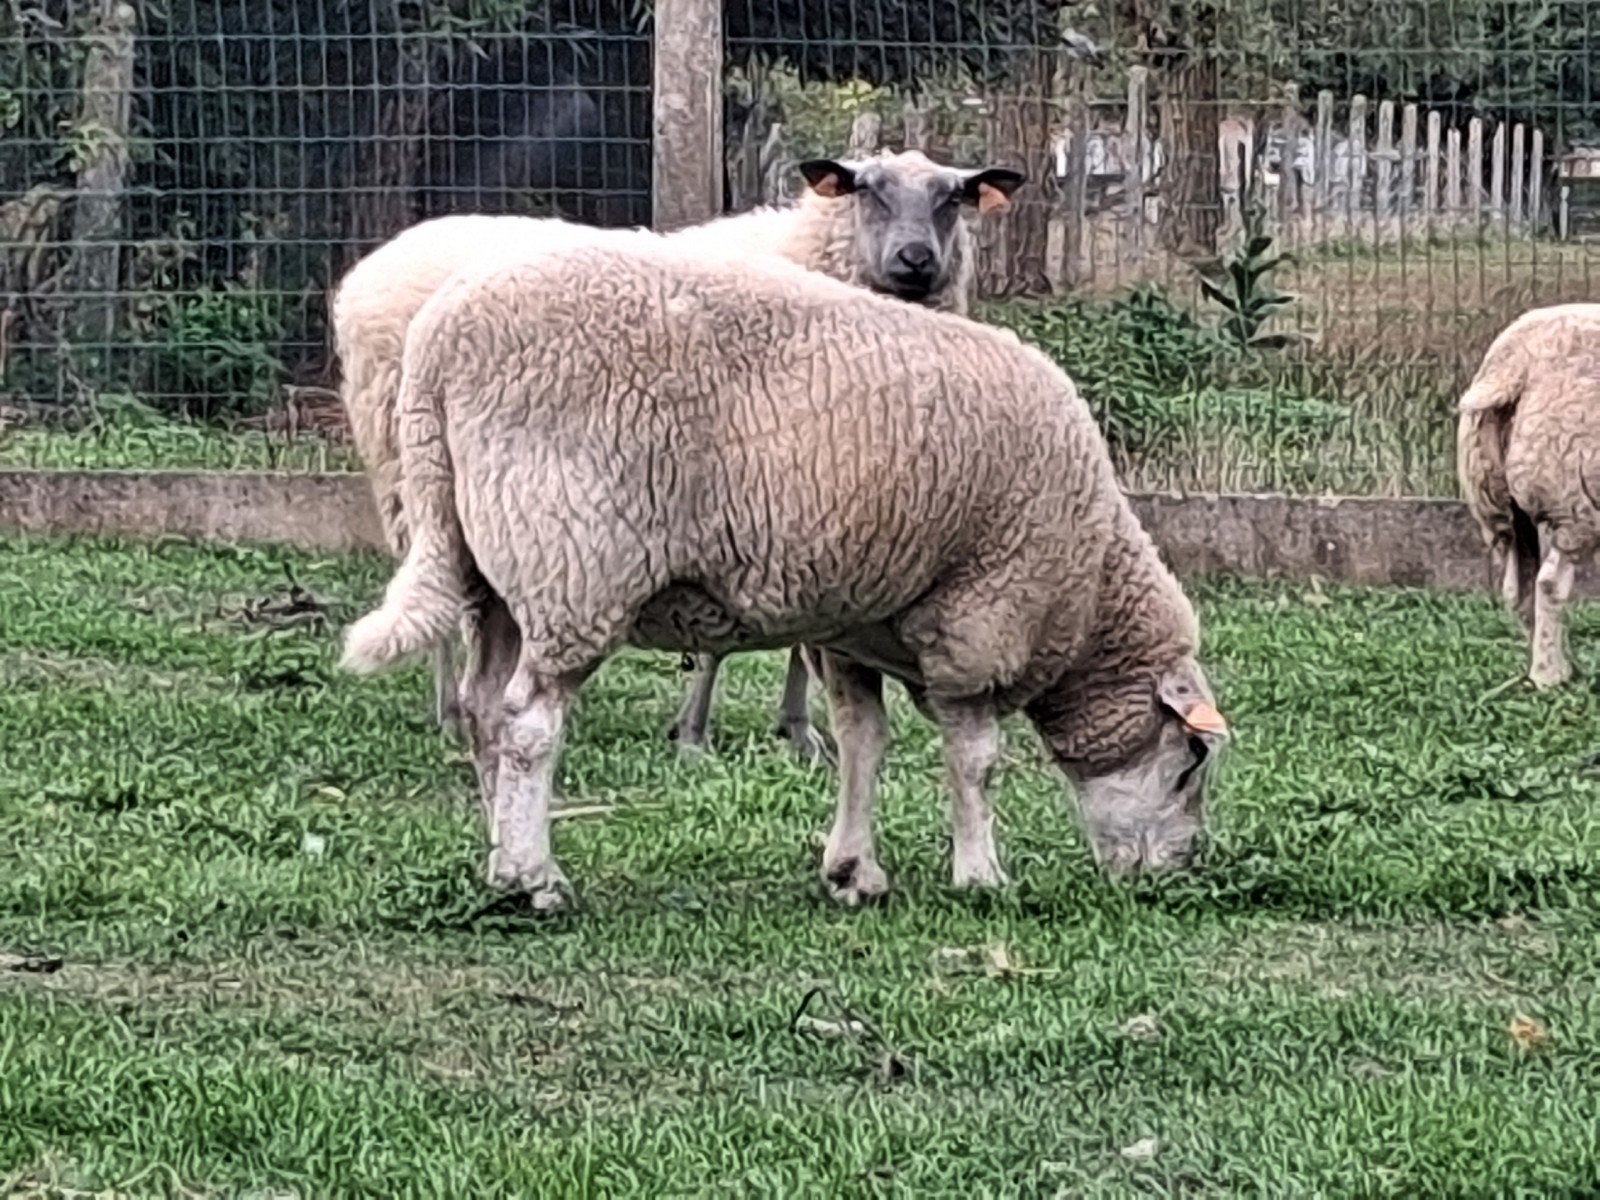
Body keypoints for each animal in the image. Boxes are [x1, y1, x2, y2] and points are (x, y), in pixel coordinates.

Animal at [330, 149, 1027, 762]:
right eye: (868, 189)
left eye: (954, 198)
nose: (917, 260)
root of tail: (384, 256)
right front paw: (694, 733)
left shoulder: (827, 497)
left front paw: (799, 730)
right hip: (412, 466)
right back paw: (448, 708)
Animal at [338, 235, 1230, 911]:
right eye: (1190, 762)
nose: (1178, 872)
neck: (1093, 586)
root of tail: (436, 348)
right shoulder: (980, 618)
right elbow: (976, 762)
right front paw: (982, 876)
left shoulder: (856, 627)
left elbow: (864, 742)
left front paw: (854, 873)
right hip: (574, 564)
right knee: (528, 724)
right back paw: (537, 880)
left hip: (492, 574)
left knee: (486, 711)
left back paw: (500, 864)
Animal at [1458, 302, 1600, 688]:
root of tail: (1519, 359)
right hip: (1575, 498)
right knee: (1549, 583)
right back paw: (1549, 675)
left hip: (1497, 499)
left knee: (1518, 587)